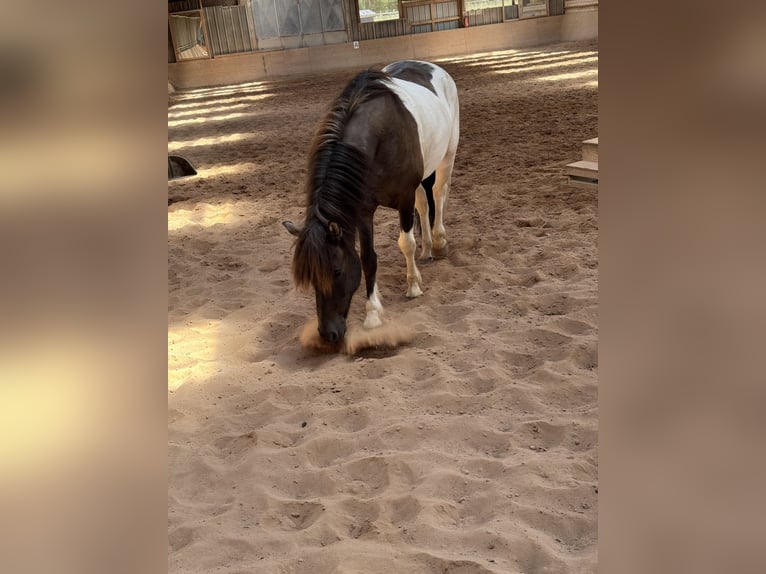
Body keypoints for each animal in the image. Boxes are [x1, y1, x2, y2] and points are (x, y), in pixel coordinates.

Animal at [282, 60, 460, 345]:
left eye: (336, 271)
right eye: (310, 277)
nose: (328, 334)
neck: (382, 135)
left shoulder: (404, 198)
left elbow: (406, 243)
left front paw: (413, 286)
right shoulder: (365, 210)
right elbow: (367, 258)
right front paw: (373, 314)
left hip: (447, 157)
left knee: (439, 194)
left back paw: (439, 242)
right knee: (424, 205)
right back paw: (426, 251)